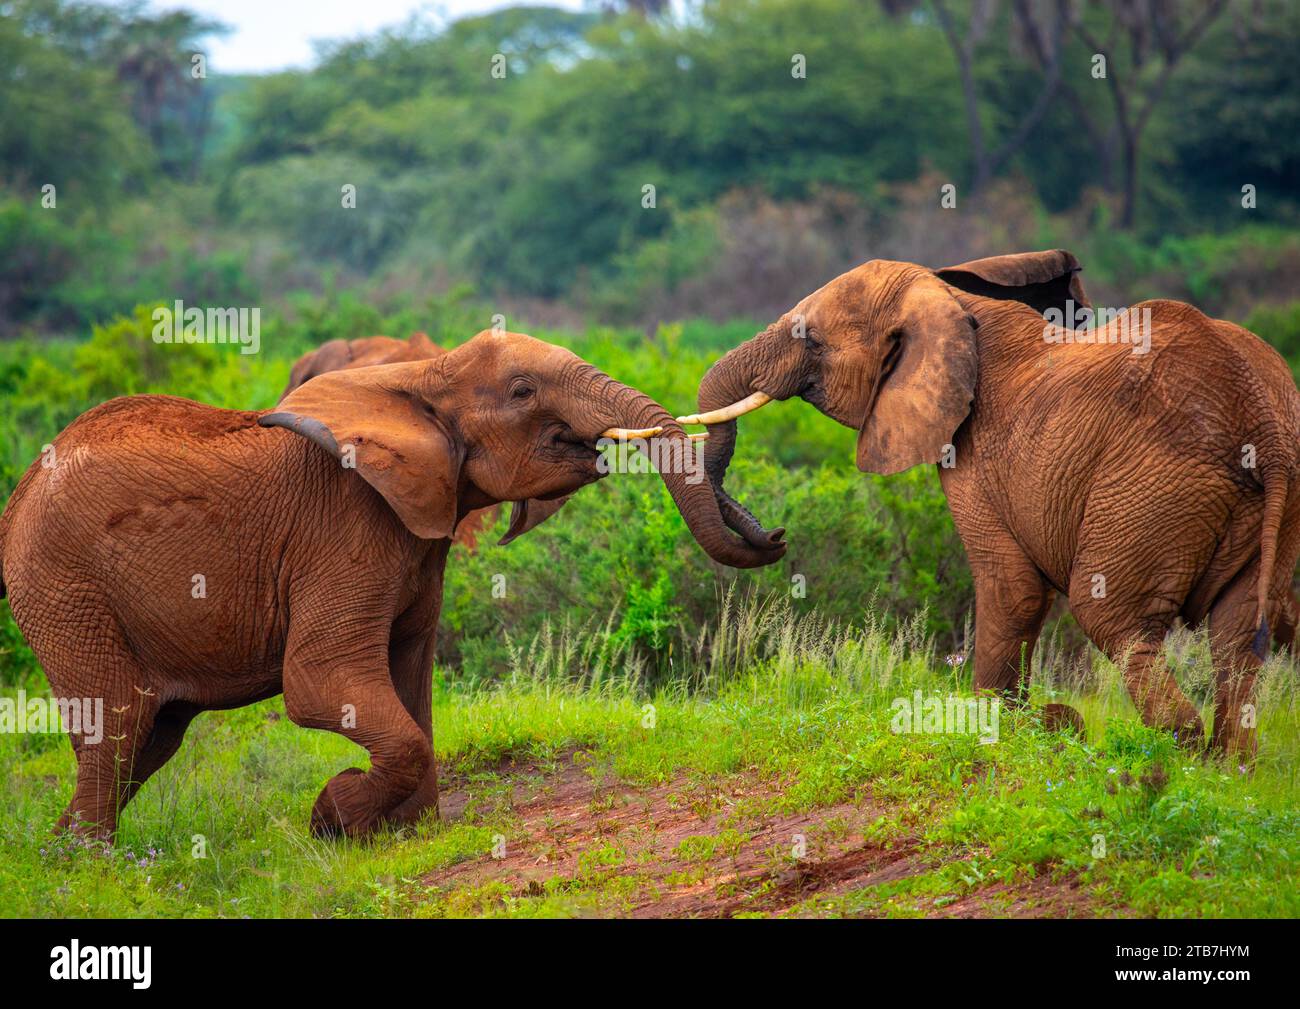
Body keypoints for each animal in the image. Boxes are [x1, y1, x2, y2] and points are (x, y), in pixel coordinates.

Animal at [0, 327, 780, 837]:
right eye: (523, 390)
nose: (774, 538)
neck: (422, 377)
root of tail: (23, 488)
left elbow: (411, 679)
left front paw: (406, 831)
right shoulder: (345, 527)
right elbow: (321, 682)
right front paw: (333, 817)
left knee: (151, 736)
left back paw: (65, 853)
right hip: (62, 586)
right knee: (119, 720)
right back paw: (95, 864)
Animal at [681, 249, 1300, 759]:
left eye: (810, 339)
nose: (776, 536)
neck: (949, 302)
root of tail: (1260, 418)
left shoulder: (974, 451)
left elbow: (1013, 588)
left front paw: (995, 729)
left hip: (1155, 486)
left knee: (1111, 613)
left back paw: (1176, 746)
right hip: (1273, 494)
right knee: (1238, 631)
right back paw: (1226, 764)